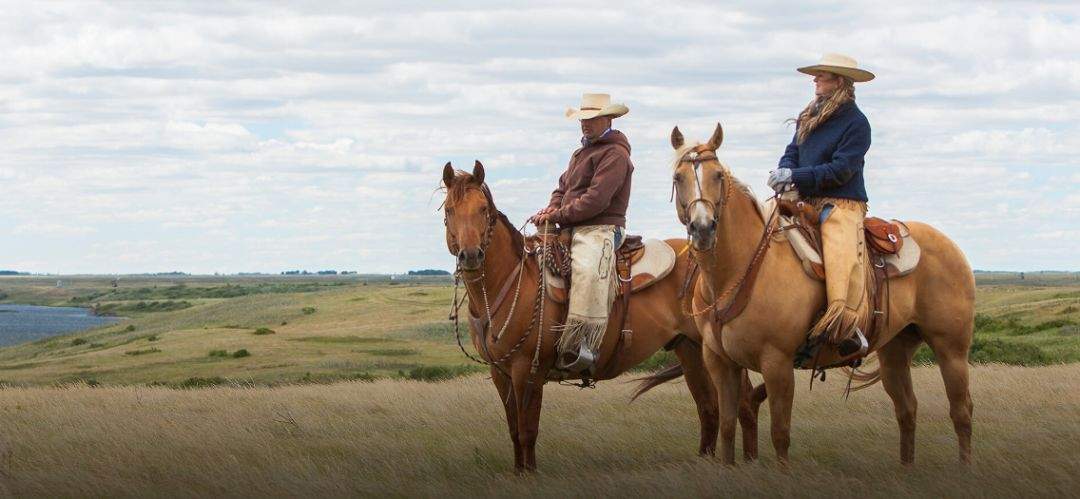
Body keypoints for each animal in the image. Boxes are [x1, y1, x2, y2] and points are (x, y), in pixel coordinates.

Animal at [436, 162, 760, 473]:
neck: (512, 281)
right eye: (449, 210)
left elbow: (528, 430)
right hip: (690, 351)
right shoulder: (499, 373)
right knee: (709, 409)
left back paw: (750, 462)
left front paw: (529, 475)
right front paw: (517, 473)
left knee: (743, 403)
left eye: (483, 209)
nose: (471, 255)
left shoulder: (527, 370)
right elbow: (514, 430)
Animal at [669, 125, 976, 468]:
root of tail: (950, 246)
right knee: (907, 408)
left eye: (718, 175)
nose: (703, 228)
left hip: (951, 349)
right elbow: (726, 427)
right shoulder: (720, 363)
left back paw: (965, 469)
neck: (734, 274)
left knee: (961, 411)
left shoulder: (777, 363)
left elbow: (780, 433)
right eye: (678, 177)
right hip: (896, 349)